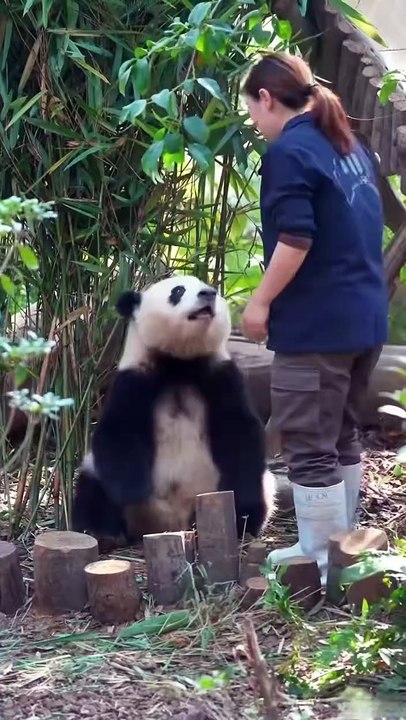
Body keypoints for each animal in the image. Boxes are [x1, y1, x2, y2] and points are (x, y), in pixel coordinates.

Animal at [72, 274, 276, 551]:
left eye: (211, 288)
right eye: (178, 291)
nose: (208, 293)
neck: (179, 363)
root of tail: (168, 525)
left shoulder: (220, 375)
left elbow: (240, 432)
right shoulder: (134, 380)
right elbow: (117, 434)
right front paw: (133, 490)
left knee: (257, 489)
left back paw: (243, 524)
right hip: (106, 486)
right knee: (92, 488)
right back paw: (102, 533)